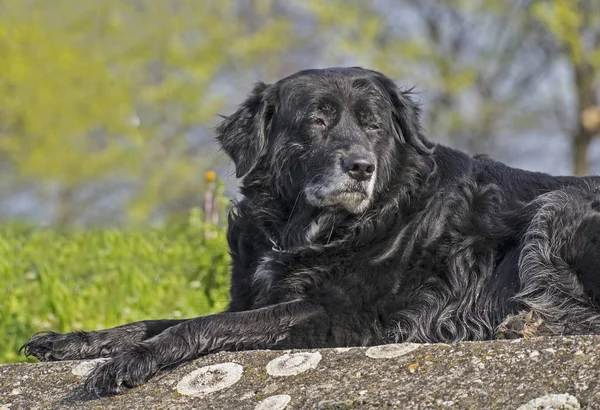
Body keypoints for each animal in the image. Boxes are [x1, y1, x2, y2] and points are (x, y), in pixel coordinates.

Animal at [23, 66, 600, 394]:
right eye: (318, 120)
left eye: (373, 123)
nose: (362, 167)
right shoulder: (252, 299)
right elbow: (152, 321)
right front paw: (71, 341)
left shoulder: (332, 316)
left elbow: (197, 326)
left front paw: (131, 363)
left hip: (557, 206)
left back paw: (525, 326)